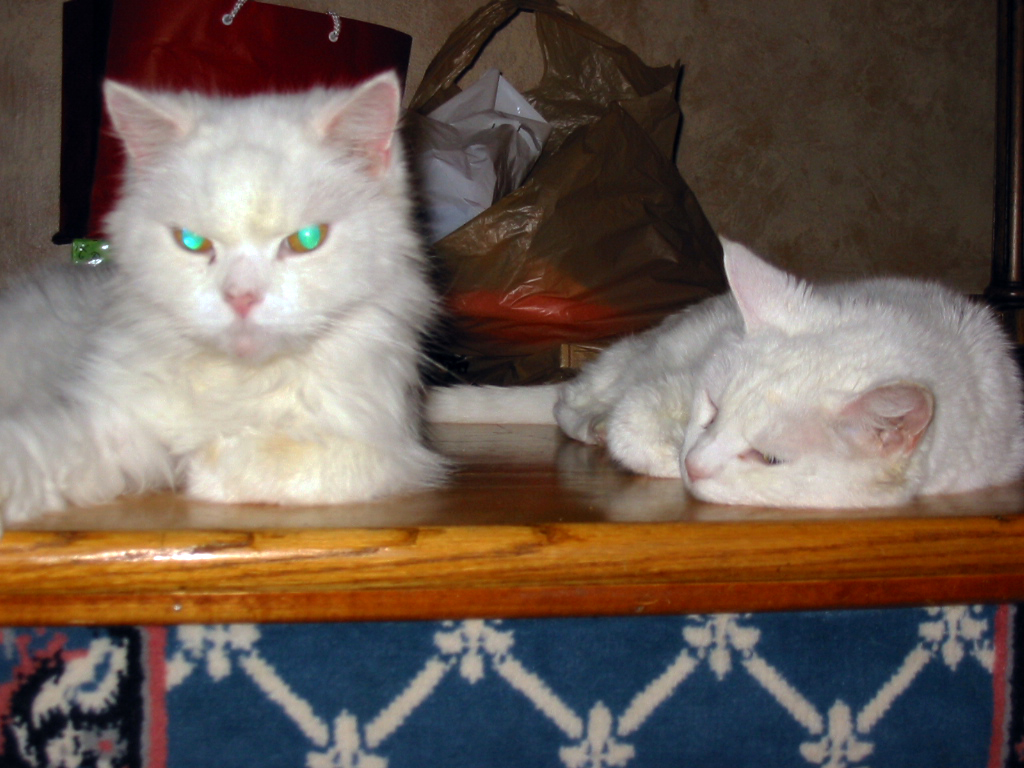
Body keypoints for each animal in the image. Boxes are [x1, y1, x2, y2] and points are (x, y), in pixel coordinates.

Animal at [0, 73, 438, 536]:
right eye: (192, 242)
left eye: (307, 240)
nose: (240, 297)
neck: (239, 379)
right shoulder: (105, 424)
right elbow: (34, 450)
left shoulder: (399, 451)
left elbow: (306, 460)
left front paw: (204, 463)